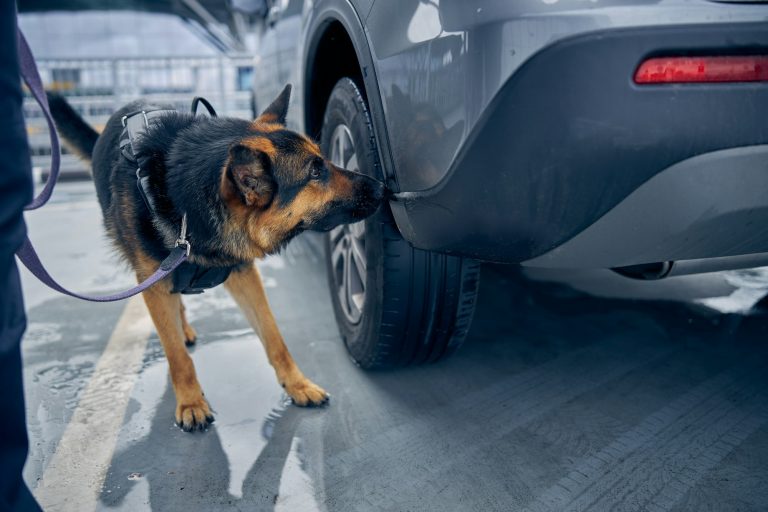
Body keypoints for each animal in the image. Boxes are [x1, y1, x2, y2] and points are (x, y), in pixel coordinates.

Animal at [47, 86, 384, 430]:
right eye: (315, 171)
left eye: (324, 159)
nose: (382, 186)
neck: (185, 205)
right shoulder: (154, 285)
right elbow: (177, 356)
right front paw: (190, 402)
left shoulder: (243, 274)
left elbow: (274, 337)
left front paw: (298, 385)